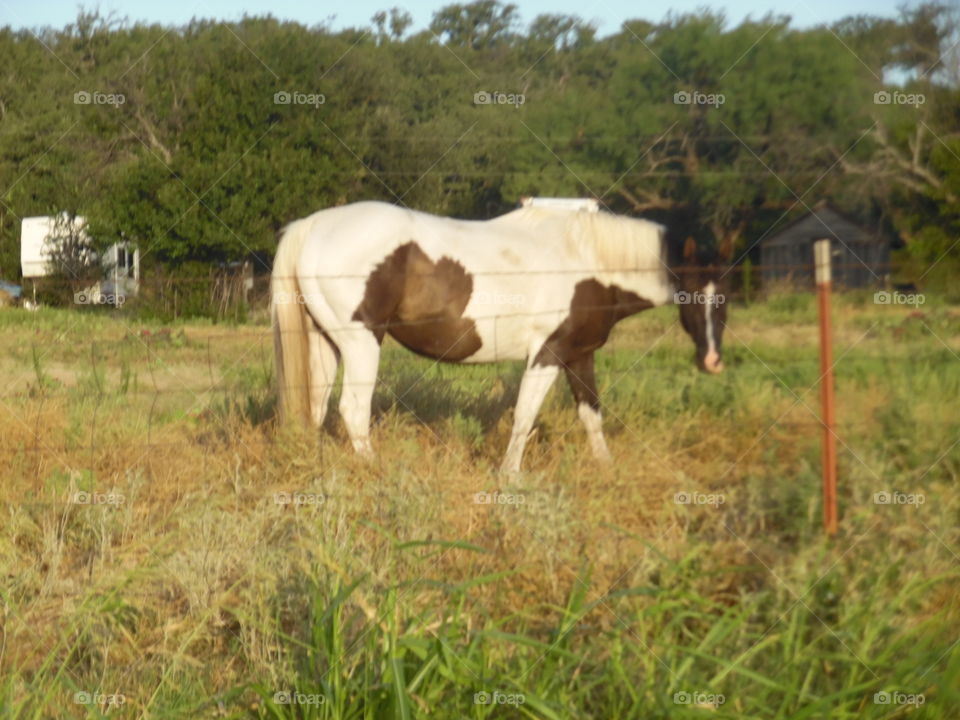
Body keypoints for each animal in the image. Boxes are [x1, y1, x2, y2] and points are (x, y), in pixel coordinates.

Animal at [271, 201, 727, 472]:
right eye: (692, 292)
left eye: (724, 298)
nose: (712, 361)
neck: (587, 261)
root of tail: (313, 225)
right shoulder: (547, 352)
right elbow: (524, 416)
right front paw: (510, 477)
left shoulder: (579, 355)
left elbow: (591, 414)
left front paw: (606, 468)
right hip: (362, 343)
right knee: (352, 409)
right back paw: (374, 468)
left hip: (326, 342)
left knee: (316, 407)